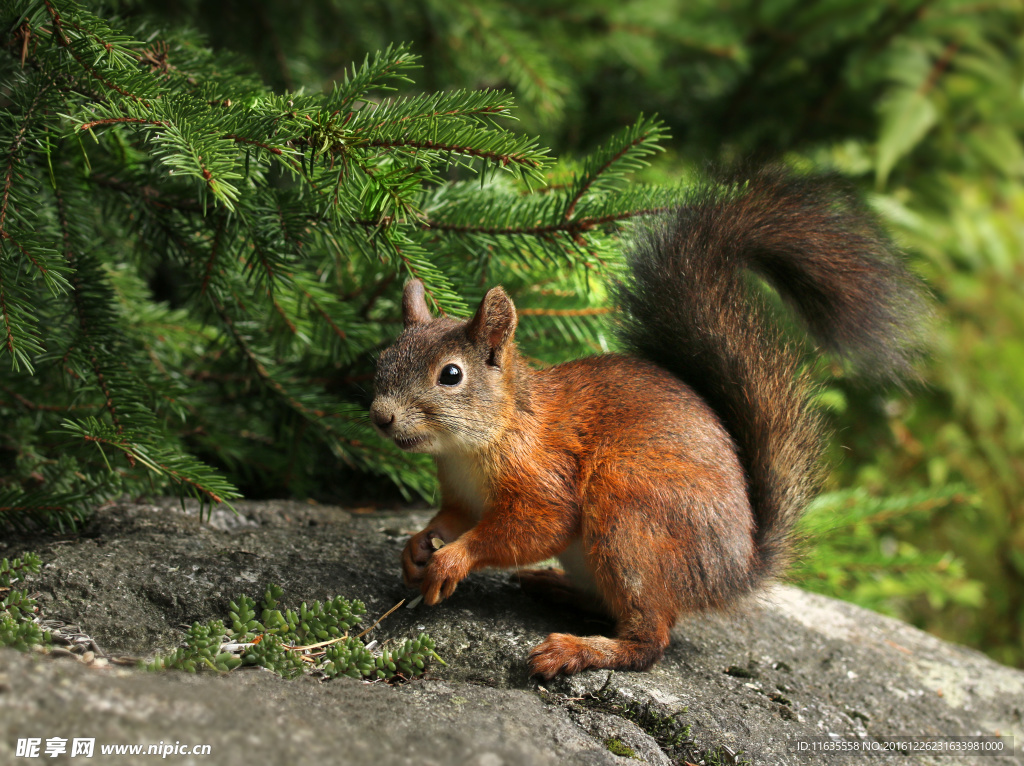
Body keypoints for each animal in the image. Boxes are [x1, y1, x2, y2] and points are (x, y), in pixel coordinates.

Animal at [368, 164, 929, 679]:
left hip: (630, 519)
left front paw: (451, 560)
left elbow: (532, 528)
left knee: (650, 639)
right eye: (383, 358)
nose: (379, 416)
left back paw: (577, 650)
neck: (477, 442)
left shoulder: (545, 479)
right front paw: (417, 546)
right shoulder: (462, 495)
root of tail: (734, 573)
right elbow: (450, 519)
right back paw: (555, 589)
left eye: (451, 375)